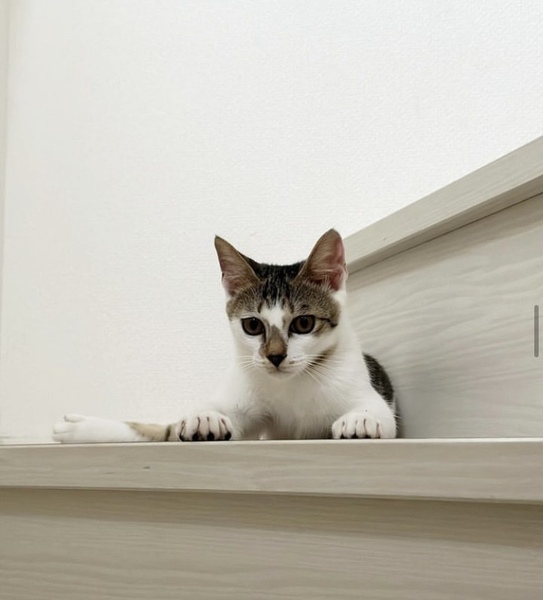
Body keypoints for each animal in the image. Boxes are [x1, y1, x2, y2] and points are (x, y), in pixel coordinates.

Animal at [53, 229, 397, 443]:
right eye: (253, 326)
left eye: (304, 323)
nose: (275, 356)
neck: (291, 387)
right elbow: (170, 427)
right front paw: (205, 416)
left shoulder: (361, 388)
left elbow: (379, 414)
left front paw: (362, 420)